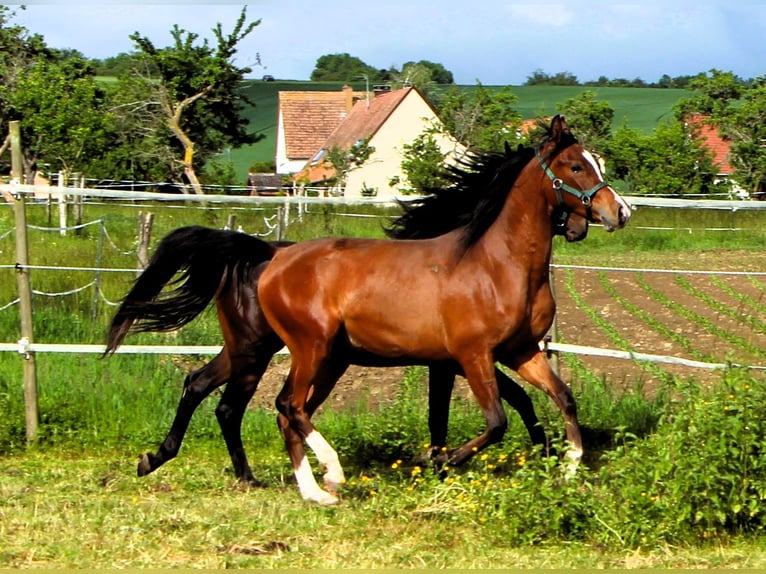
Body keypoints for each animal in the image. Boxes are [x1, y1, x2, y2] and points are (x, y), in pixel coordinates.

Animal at [256, 115, 630, 504]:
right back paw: (332, 472)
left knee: (289, 413)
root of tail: (276, 261)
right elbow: (496, 422)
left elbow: (563, 398)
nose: (620, 211)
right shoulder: (473, 355)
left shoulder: (521, 351)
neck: (496, 266)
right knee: (290, 406)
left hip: (333, 359)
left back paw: (315, 490)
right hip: (311, 348)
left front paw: (569, 467)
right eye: (575, 166)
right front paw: (440, 461)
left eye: (596, 161)